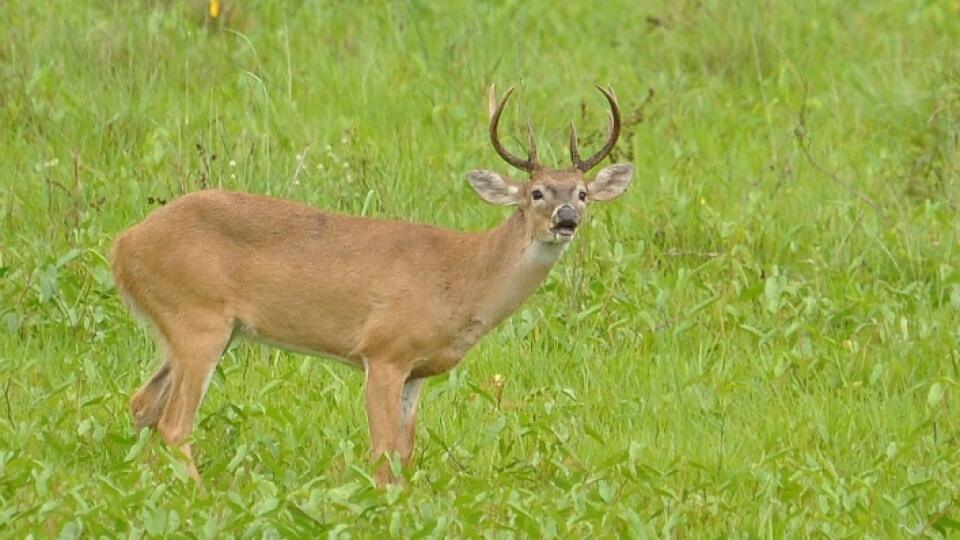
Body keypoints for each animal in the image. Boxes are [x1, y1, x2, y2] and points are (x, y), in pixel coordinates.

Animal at [110, 85, 636, 486]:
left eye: (583, 193)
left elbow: (404, 450)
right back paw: (198, 495)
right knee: (175, 423)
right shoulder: (383, 350)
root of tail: (122, 246)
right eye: (536, 192)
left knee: (142, 404)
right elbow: (382, 450)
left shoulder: (418, 371)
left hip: (193, 329)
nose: (566, 220)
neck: (461, 276)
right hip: (197, 318)